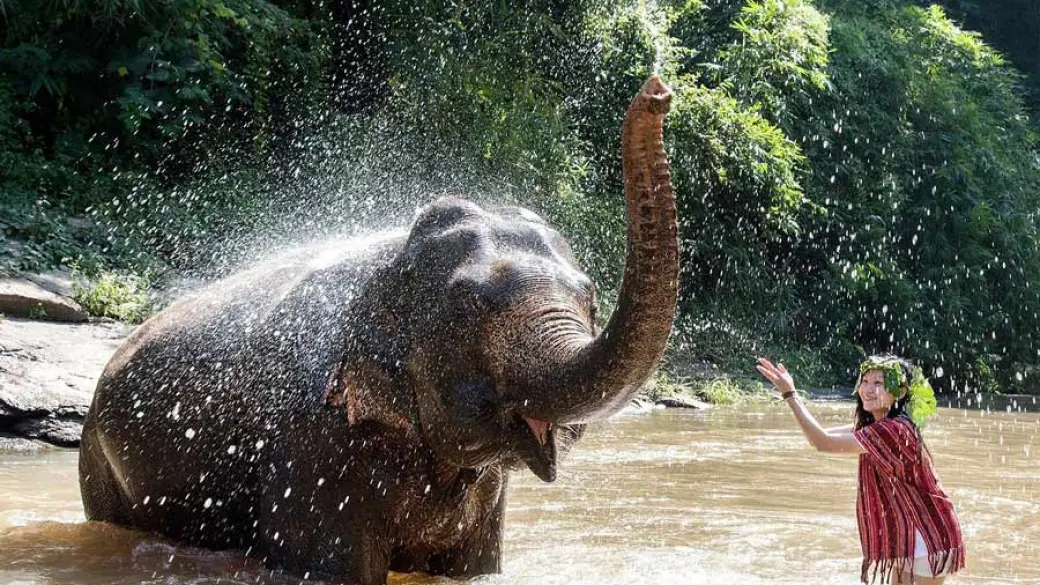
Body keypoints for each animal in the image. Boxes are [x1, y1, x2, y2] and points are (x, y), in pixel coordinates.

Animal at [79, 75, 678, 584]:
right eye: (467, 306)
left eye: (590, 298)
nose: (657, 92)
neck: (388, 264)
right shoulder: (312, 446)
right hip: (97, 461)